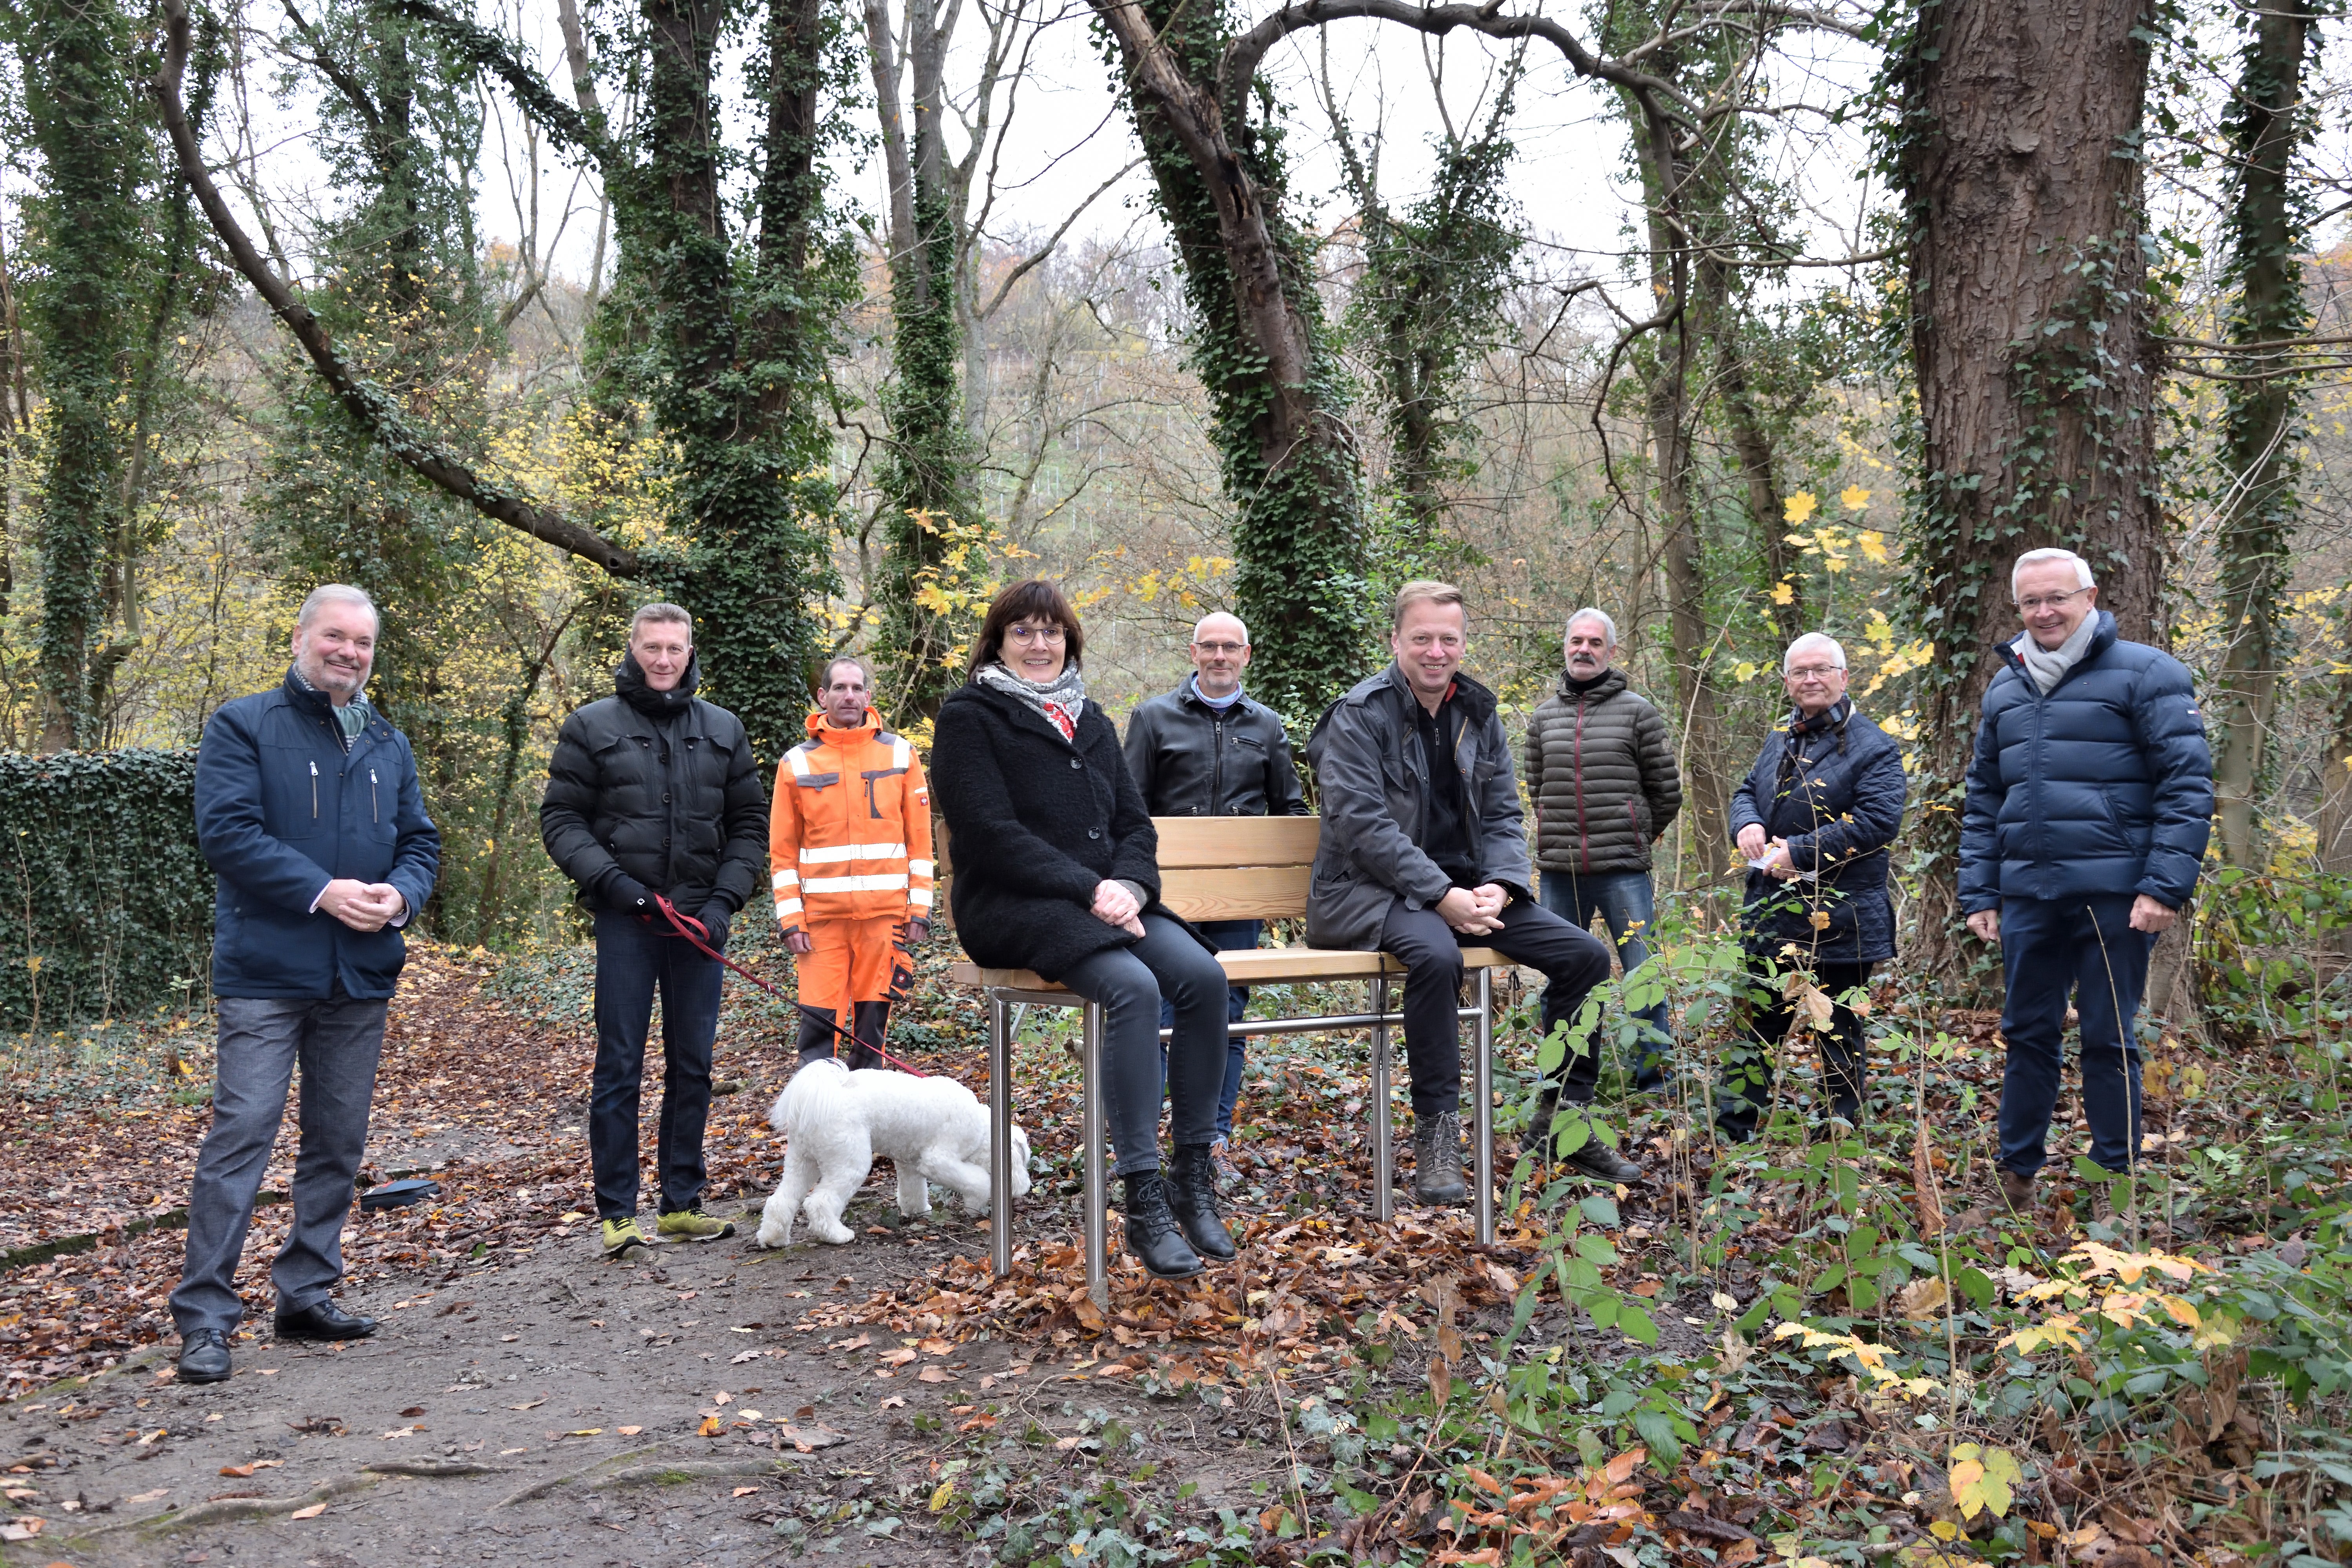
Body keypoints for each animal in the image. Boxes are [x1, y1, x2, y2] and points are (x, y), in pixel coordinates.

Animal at [762, 1053, 1030, 1250]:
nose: (1025, 1188)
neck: (985, 1129)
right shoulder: (937, 1160)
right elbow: (978, 1181)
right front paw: (977, 1203)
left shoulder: (909, 1163)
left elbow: (913, 1191)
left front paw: (918, 1211)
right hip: (849, 1161)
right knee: (820, 1202)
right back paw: (837, 1236)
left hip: (802, 1160)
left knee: (780, 1200)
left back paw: (774, 1239)